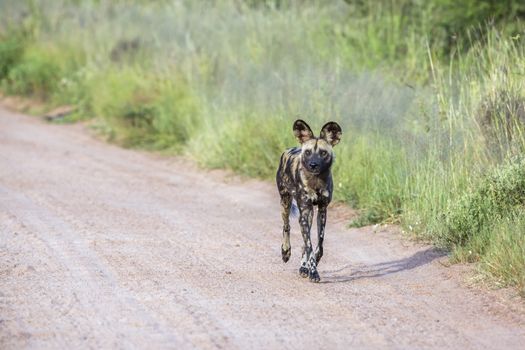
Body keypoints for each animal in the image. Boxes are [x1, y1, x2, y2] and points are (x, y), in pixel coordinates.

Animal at [276, 119, 342, 282]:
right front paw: (313, 272)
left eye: (323, 153)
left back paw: (303, 266)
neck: (316, 181)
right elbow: (310, 247)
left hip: (310, 213)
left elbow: (319, 245)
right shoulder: (304, 213)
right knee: (286, 226)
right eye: (307, 152)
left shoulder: (322, 211)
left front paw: (312, 264)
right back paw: (286, 251)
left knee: (305, 242)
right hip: (286, 202)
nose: (313, 164)